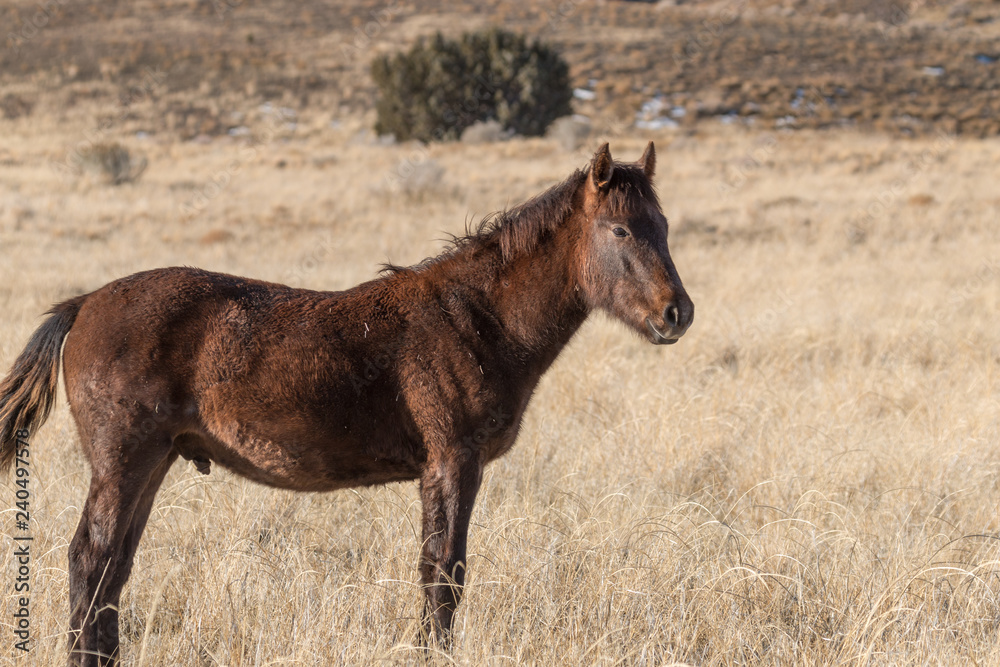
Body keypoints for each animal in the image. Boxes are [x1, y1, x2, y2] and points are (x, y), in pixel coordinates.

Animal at [0, 142, 693, 665]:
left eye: (663, 228)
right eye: (620, 229)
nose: (676, 314)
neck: (478, 317)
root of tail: (84, 302)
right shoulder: (452, 464)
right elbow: (443, 572)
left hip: (153, 463)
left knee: (112, 570)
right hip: (123, 464)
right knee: (89, 561)